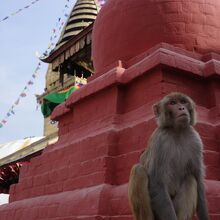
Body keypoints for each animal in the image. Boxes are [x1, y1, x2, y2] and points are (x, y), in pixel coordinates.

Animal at [129, 92, 210, 220]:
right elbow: (157, 184)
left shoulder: (196, 140)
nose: (181, 108)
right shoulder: (160, 141)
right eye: (172, 103)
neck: (178, 131)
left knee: (190, 179)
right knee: (138, 170)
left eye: (183, 102)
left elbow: (198, 180)